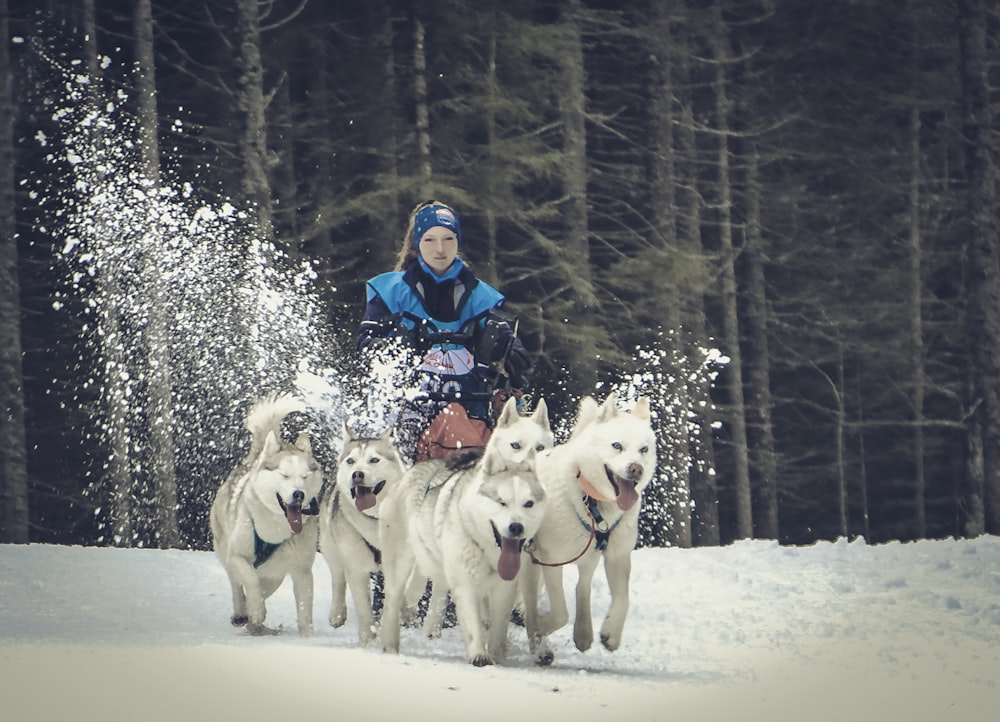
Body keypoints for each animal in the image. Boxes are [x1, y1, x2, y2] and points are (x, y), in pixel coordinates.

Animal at [209, 390, 322, 632]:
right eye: (284, 475)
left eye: (305, 476)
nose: (299, 494)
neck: (275, 529)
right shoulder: (237, 556)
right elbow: (250, 580)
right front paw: (255, 611)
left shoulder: (302, 570)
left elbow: (304, 608)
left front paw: (308, 635)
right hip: (227, 553)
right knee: (238, 585)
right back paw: (243, 613)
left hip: (276, 571)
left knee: (264, 585)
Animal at [316, 422, 402, 640]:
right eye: (351, 461)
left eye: (374, 460)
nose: (357, 474)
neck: (375, 520)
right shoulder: (356, 568)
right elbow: (363, 608)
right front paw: (368, 638)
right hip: (332, 549)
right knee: (338, 578)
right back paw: (337, 613)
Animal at [376, 400, 548, 664]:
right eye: (515, 445)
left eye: (541, 447)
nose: (516, 527)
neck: (490, 550)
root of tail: (407, 476)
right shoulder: (465, 584)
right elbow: (473, 623)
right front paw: (479, 655)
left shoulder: (508, 587)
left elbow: (502, 625)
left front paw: (499, 655)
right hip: (400, 566)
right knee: (393, 601)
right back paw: (390, 644)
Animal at [520, 394, 660, 664]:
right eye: (617, 445)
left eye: (644, 449)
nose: (636, 468)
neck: (591, 501)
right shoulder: (550, 558)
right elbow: (560, 613)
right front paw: (542, 627)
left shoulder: (618, 555)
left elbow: (623, 598)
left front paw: (611, 633)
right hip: (528, 563)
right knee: (530, 603)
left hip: (588, 555)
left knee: (581, 586)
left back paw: (582, 633)